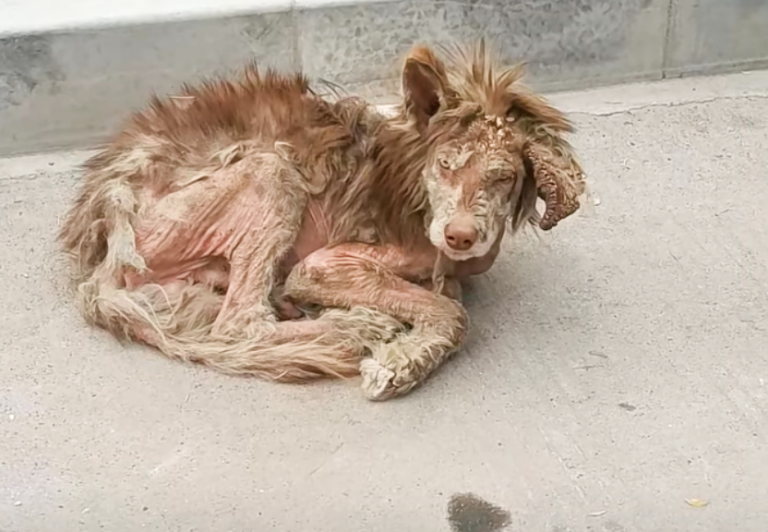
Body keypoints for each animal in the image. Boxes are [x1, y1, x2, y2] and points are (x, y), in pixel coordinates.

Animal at [58, 40, 588, 400]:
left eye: (503, 177)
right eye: (445, 164)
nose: (460, 236)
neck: (412, 182)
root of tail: (99, 236)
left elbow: (446, 294)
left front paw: (410, 348)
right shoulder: (323, 266)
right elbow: (452, 311)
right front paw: (401, 359)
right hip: (270, 173)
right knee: (239, 323)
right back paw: (354, 328)